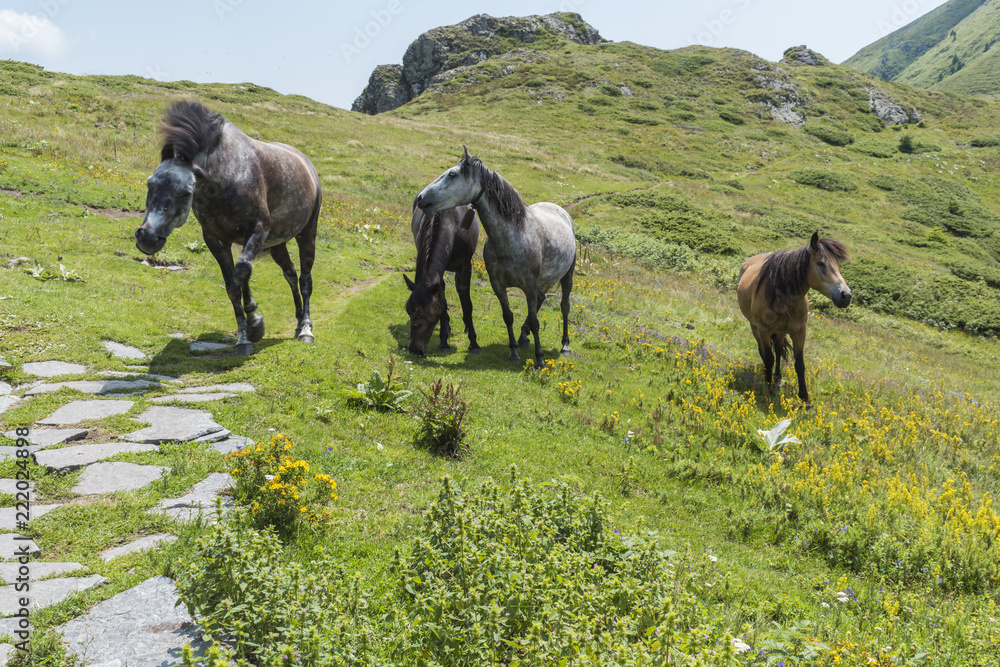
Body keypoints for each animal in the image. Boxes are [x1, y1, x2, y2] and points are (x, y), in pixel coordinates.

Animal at [135, 101, 321, 356]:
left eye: (185, 192)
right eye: (149, 183)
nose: (147, 238)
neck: (226, 178)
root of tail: (307, 164)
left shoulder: (257, 229)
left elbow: (242, 271)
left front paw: (254, 323)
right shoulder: (216, 239)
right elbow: (233, 284)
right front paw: (246, 337)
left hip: (306, 234)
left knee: (305, 280)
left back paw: (306, 329)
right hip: (277, 243)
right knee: (290, 275)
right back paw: (297, 321)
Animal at [403, 203, 481, 356]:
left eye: (423, 314)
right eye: (408, 311)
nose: (414, 349)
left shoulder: (465, 268)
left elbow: (467, 304)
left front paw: (473, 343)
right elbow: (443, 303)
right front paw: (444, 342)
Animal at [415, 147, 576, 368]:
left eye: (452, 174)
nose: (421, 198)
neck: (513, 238)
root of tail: (559, 210)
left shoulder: (528, 285)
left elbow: (536, 322)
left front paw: (540, 359)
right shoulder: (498, 285)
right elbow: (508, 316)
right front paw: (514, 352)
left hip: (567, 276)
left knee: (565, 307)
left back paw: (565, 345)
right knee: (541, 300)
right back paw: (523, 338)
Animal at [737, 232, 851, 406]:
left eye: (838, 265)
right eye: (820, 263)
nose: (846, 295)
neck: (782, 297)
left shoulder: (799, 331)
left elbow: (799, 364)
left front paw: (804, 398)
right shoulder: (764, 330)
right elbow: (768, 358)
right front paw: (769, 390)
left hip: (780, 331)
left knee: (778, 350)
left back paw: (777, 377)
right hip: (755, 327)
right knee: (763, 352)